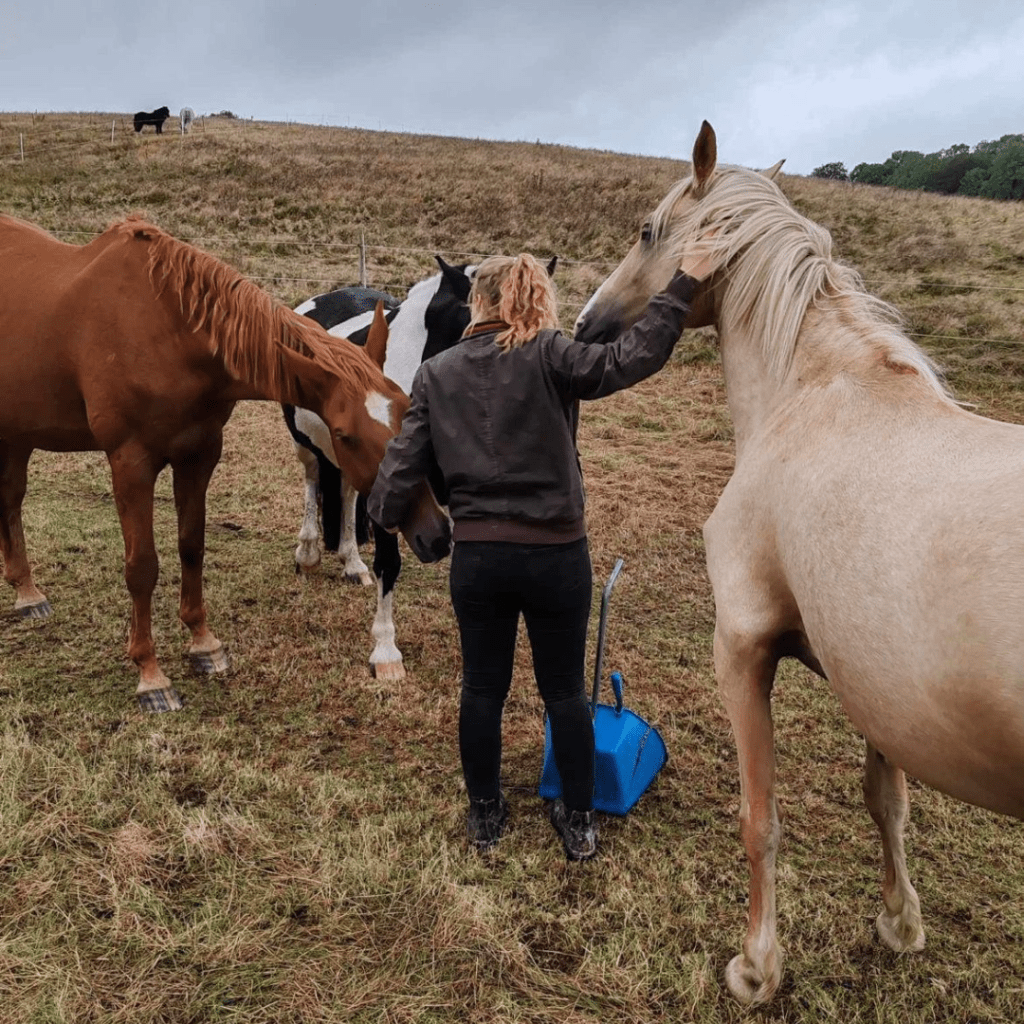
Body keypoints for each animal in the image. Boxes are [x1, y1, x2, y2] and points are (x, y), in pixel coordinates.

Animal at [0, 214, 450, 713]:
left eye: (406, 408)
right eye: (345, 434)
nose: (435, 533)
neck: (166, 331)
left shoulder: (199, 454)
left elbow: (192, 547)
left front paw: (204, 646)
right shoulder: (130, 463)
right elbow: (142, 567)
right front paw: (151, 676)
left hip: (17, 434)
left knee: (11, 501)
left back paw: (27, 593)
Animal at [575, 120, 1024, 1004]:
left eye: (647, 230)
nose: (584, 324)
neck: (812, 390)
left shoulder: (743, 647)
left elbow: (762, 822)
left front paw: (756, 966)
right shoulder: (875, 681)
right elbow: (886, 803)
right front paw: (899, 923)